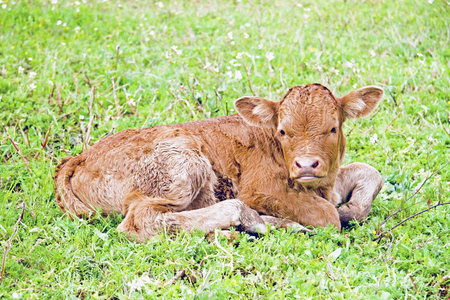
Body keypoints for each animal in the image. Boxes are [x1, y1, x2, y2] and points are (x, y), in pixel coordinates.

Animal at [52, 84, 384, 241]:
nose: (305, 165)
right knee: (143, 220)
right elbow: (328, 215)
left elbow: (370, 173)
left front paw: (350, 209)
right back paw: (256, 223)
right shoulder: (261, 189)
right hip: (183, 165)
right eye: (282, 131)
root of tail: (78, 158)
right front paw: (337, 215)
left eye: (333, 128)